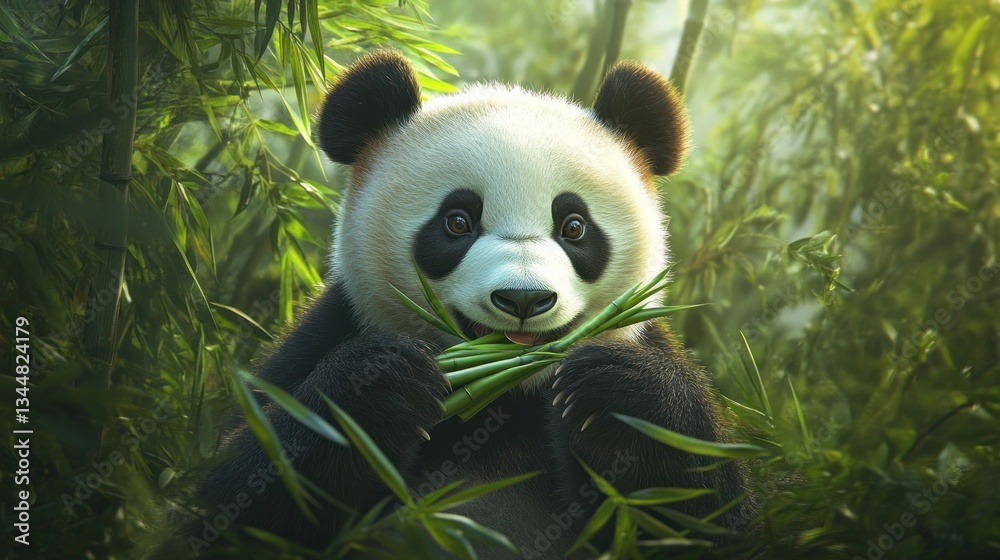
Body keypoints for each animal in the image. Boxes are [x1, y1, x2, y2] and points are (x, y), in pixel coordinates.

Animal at [193, 50, 754, 558]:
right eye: (458, 221)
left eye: (574, 226)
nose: (524, 298)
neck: (504, 393)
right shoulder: (329, 330)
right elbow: (243, 491)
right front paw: (383, 383)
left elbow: (702, 510)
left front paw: (617, 392)